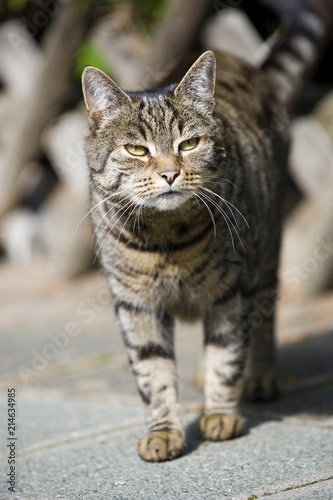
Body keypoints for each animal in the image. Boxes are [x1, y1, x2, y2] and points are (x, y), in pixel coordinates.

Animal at [81, 0, 330, 460]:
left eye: (189, 144)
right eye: (136, 149)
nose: (169, 173)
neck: (165, 238)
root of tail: (252, 67)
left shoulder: (231, 289)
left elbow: (226, 353)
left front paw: (220, 414)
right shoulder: (135, 304)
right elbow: (153, 373)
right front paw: (163, 432)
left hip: (266, 251)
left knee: (264, 317)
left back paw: (260, 377)